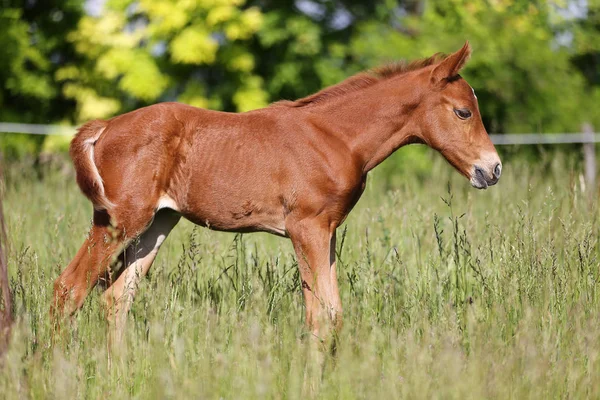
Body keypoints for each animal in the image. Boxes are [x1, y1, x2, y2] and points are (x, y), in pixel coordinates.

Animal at [51, 43, 502, 338]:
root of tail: (105, 126)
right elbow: (320, 316)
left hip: (158, 222)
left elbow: (333, 313)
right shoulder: (306, 229)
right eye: (463, 112)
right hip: (119, 221)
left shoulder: (327, 231)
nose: (493, 169)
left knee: (116, 298)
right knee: (68, 290)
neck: (335, 137)